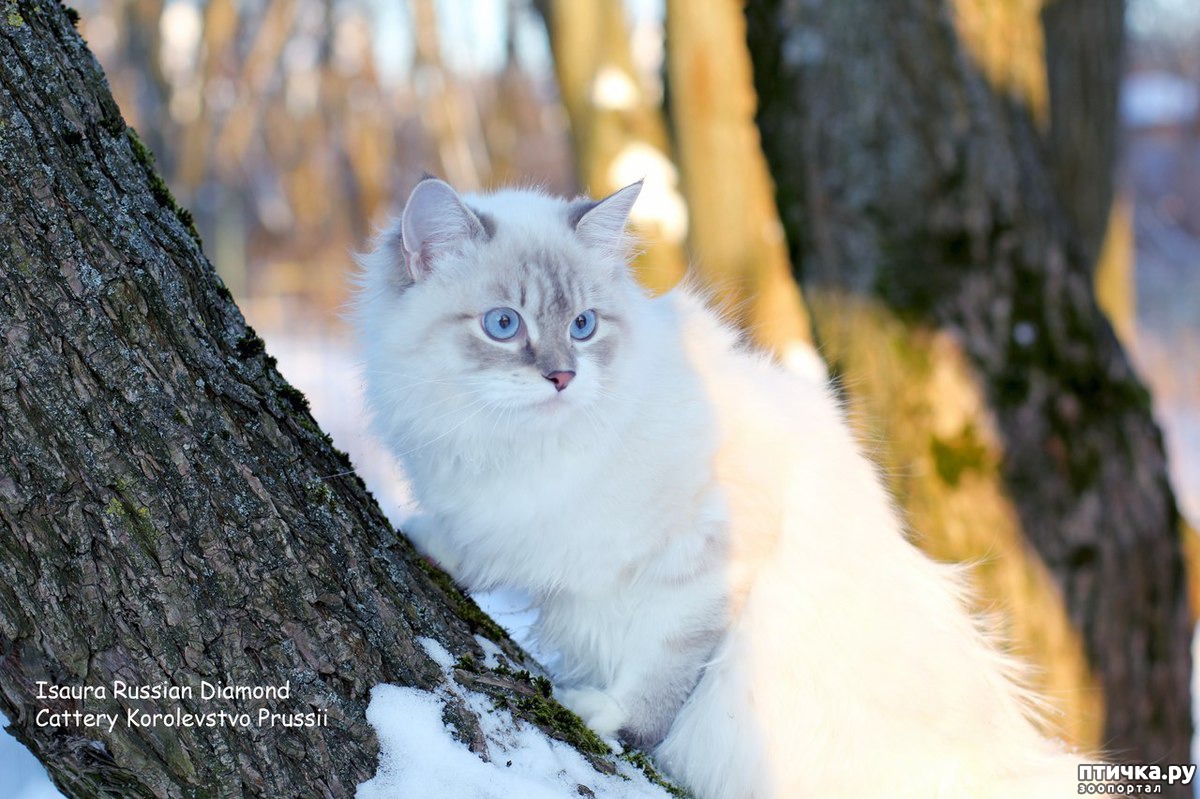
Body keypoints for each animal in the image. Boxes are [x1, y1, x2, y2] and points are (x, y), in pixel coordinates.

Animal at [352, 177, 1089, 791]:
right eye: (503, 325)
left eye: (583, 326)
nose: (563, 377)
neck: (523, 453)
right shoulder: (505, 522)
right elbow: (477, 549)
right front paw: (426, 540)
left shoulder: (706, 558)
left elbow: (659, 674)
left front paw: (603, 717)